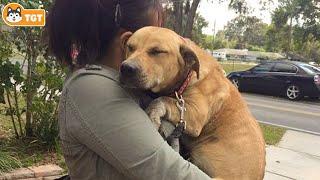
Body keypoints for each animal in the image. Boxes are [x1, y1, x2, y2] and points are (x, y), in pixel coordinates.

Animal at [119, 27, 264, 180]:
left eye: (157, 51)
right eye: (130, 47)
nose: (127, 68)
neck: (188, 76)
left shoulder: (195, 115)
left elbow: (162, 100)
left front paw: (152, 114)